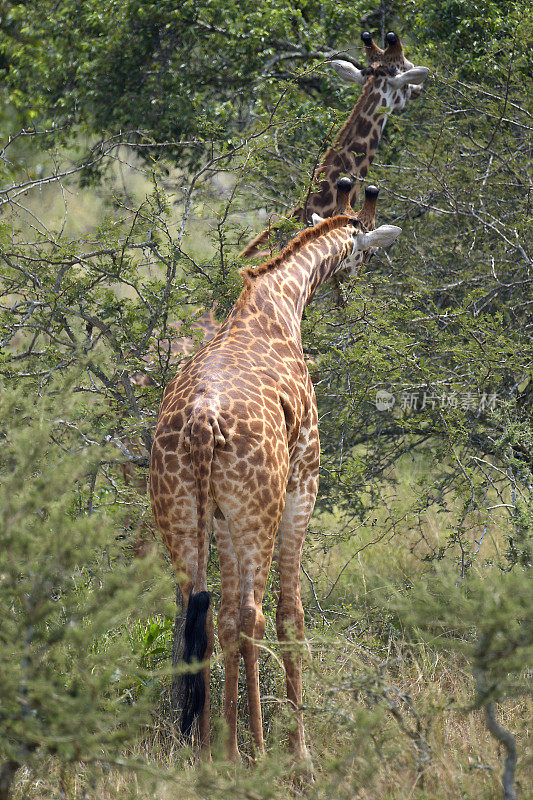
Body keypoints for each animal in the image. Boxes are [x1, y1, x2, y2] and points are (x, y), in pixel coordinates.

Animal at [148, 180, 402, 764]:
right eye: (365, 252)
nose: (350, 291)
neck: (279, 304)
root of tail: (202, 424)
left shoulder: (222, 517)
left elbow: (219, 622)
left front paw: (228, 745)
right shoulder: (303, 481)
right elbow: (292, 618)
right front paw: (299, 755)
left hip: (182, 515)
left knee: (201, 613)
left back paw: (207, 753)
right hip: (260, 509)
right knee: (252, 615)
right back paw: (260, 753)